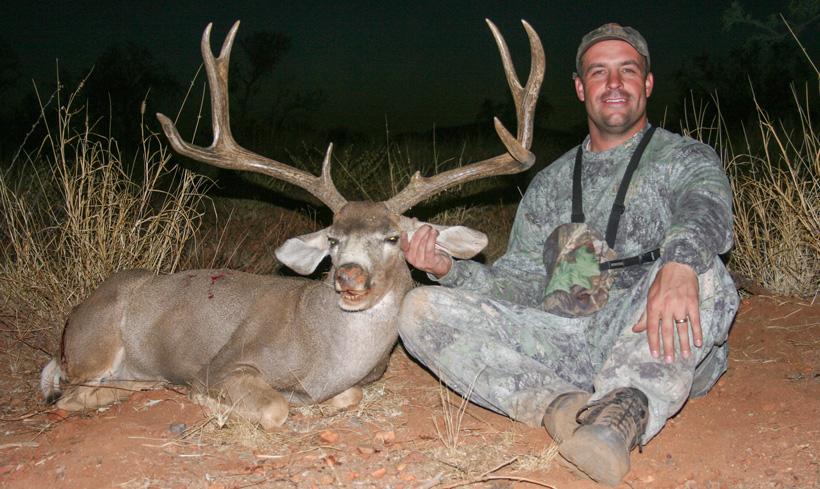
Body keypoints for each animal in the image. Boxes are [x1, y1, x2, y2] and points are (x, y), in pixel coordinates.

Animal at [39, 19, 545, 429]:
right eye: (334, 240)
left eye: (392, 237)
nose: (348, 277)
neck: (322, 354)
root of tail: (76, 314)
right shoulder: (224, 363)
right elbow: (273, 406)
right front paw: (207, 401)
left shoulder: (346, 384)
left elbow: (347, 396)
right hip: (94, 343)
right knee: (64, 389)